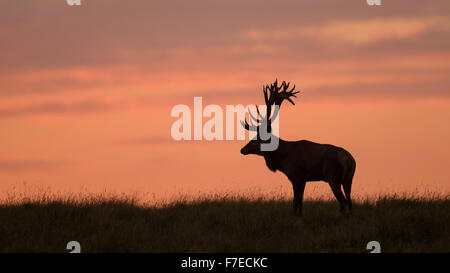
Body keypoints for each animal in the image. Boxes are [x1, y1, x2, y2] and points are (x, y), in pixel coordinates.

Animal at [241, 79, 356, 216]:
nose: (242, 149)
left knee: (343, 201)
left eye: (257, 139)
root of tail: (348, 159)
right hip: (349, 179)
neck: (283, 159)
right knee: (349, 201)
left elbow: (295, 200)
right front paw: (300, 215)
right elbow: (300, 200)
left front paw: (294, 215)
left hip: (333, 176)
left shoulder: (295, 176)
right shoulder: (303, 180)